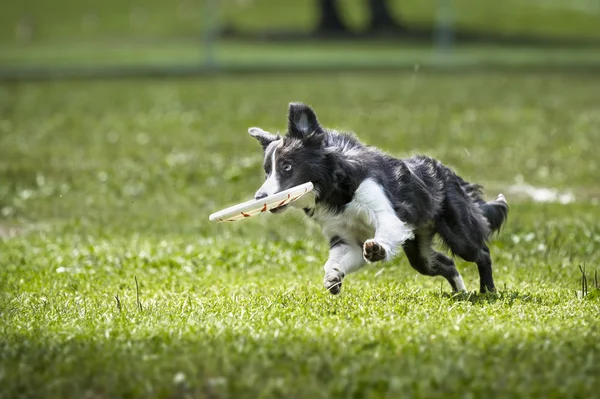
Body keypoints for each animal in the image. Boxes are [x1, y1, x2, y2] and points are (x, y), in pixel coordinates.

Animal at [246, 102, 508, 296]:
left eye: (287, 167)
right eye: (267, 171)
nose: (260, 196)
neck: (335, 189)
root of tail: (452, 175)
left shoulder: (384, 209)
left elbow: (383, 230)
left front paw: (377, 250)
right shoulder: (345, 236)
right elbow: (336, 259)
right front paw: (333, 277)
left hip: (458, 232)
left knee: (480, 252)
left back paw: (487, 291)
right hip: (420, 251)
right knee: (444, 263)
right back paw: (460, 293)